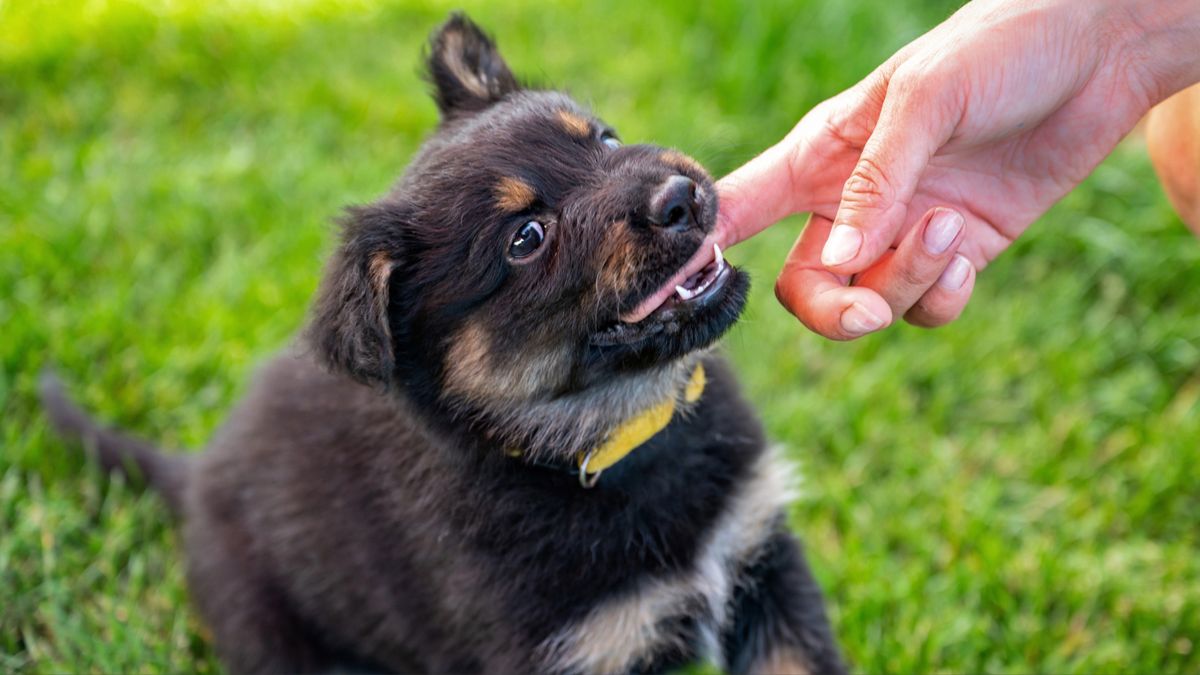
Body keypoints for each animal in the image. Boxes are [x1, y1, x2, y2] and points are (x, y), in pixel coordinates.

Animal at [39, 14, 844, 672]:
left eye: (604, 138)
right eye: (527, 238)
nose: (681, 196)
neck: (614, 441)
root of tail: (198, 473)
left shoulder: (761, 560)